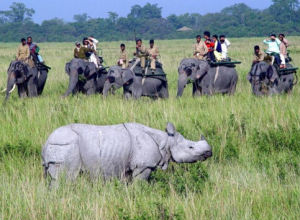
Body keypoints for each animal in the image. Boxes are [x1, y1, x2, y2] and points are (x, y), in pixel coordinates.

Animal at [42, 122, 212, 187]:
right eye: (191, 147)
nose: (209, 152)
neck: (166, 141)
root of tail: (46, 142)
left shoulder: (129, 167)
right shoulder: (144, 166)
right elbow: (140, 184)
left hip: (59, 146)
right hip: (66, 146)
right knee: (65, 179)